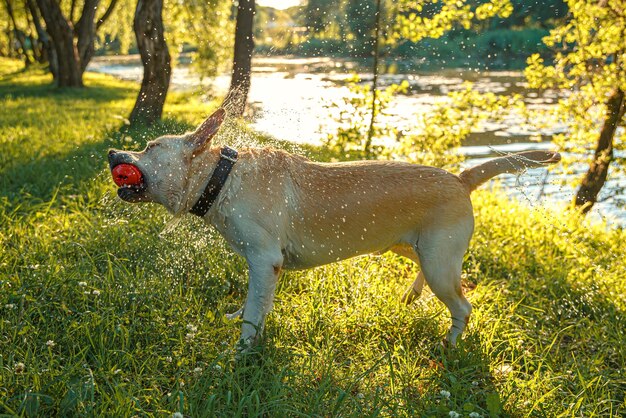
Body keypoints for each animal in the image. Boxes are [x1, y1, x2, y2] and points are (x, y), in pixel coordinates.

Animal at [108, 107, 560, 346]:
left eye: (150, 146)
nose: (113, 153)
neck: (223, 176)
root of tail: (461, 178)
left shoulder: (265, 260)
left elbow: (255, 313)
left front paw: (242, 351)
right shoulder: (261, 267)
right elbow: (254, 303)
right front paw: (240, 317)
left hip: (439, 262)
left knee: (463, 305)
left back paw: (449, 343)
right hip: (413, 247)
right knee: (429, 273)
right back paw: (412, 296)